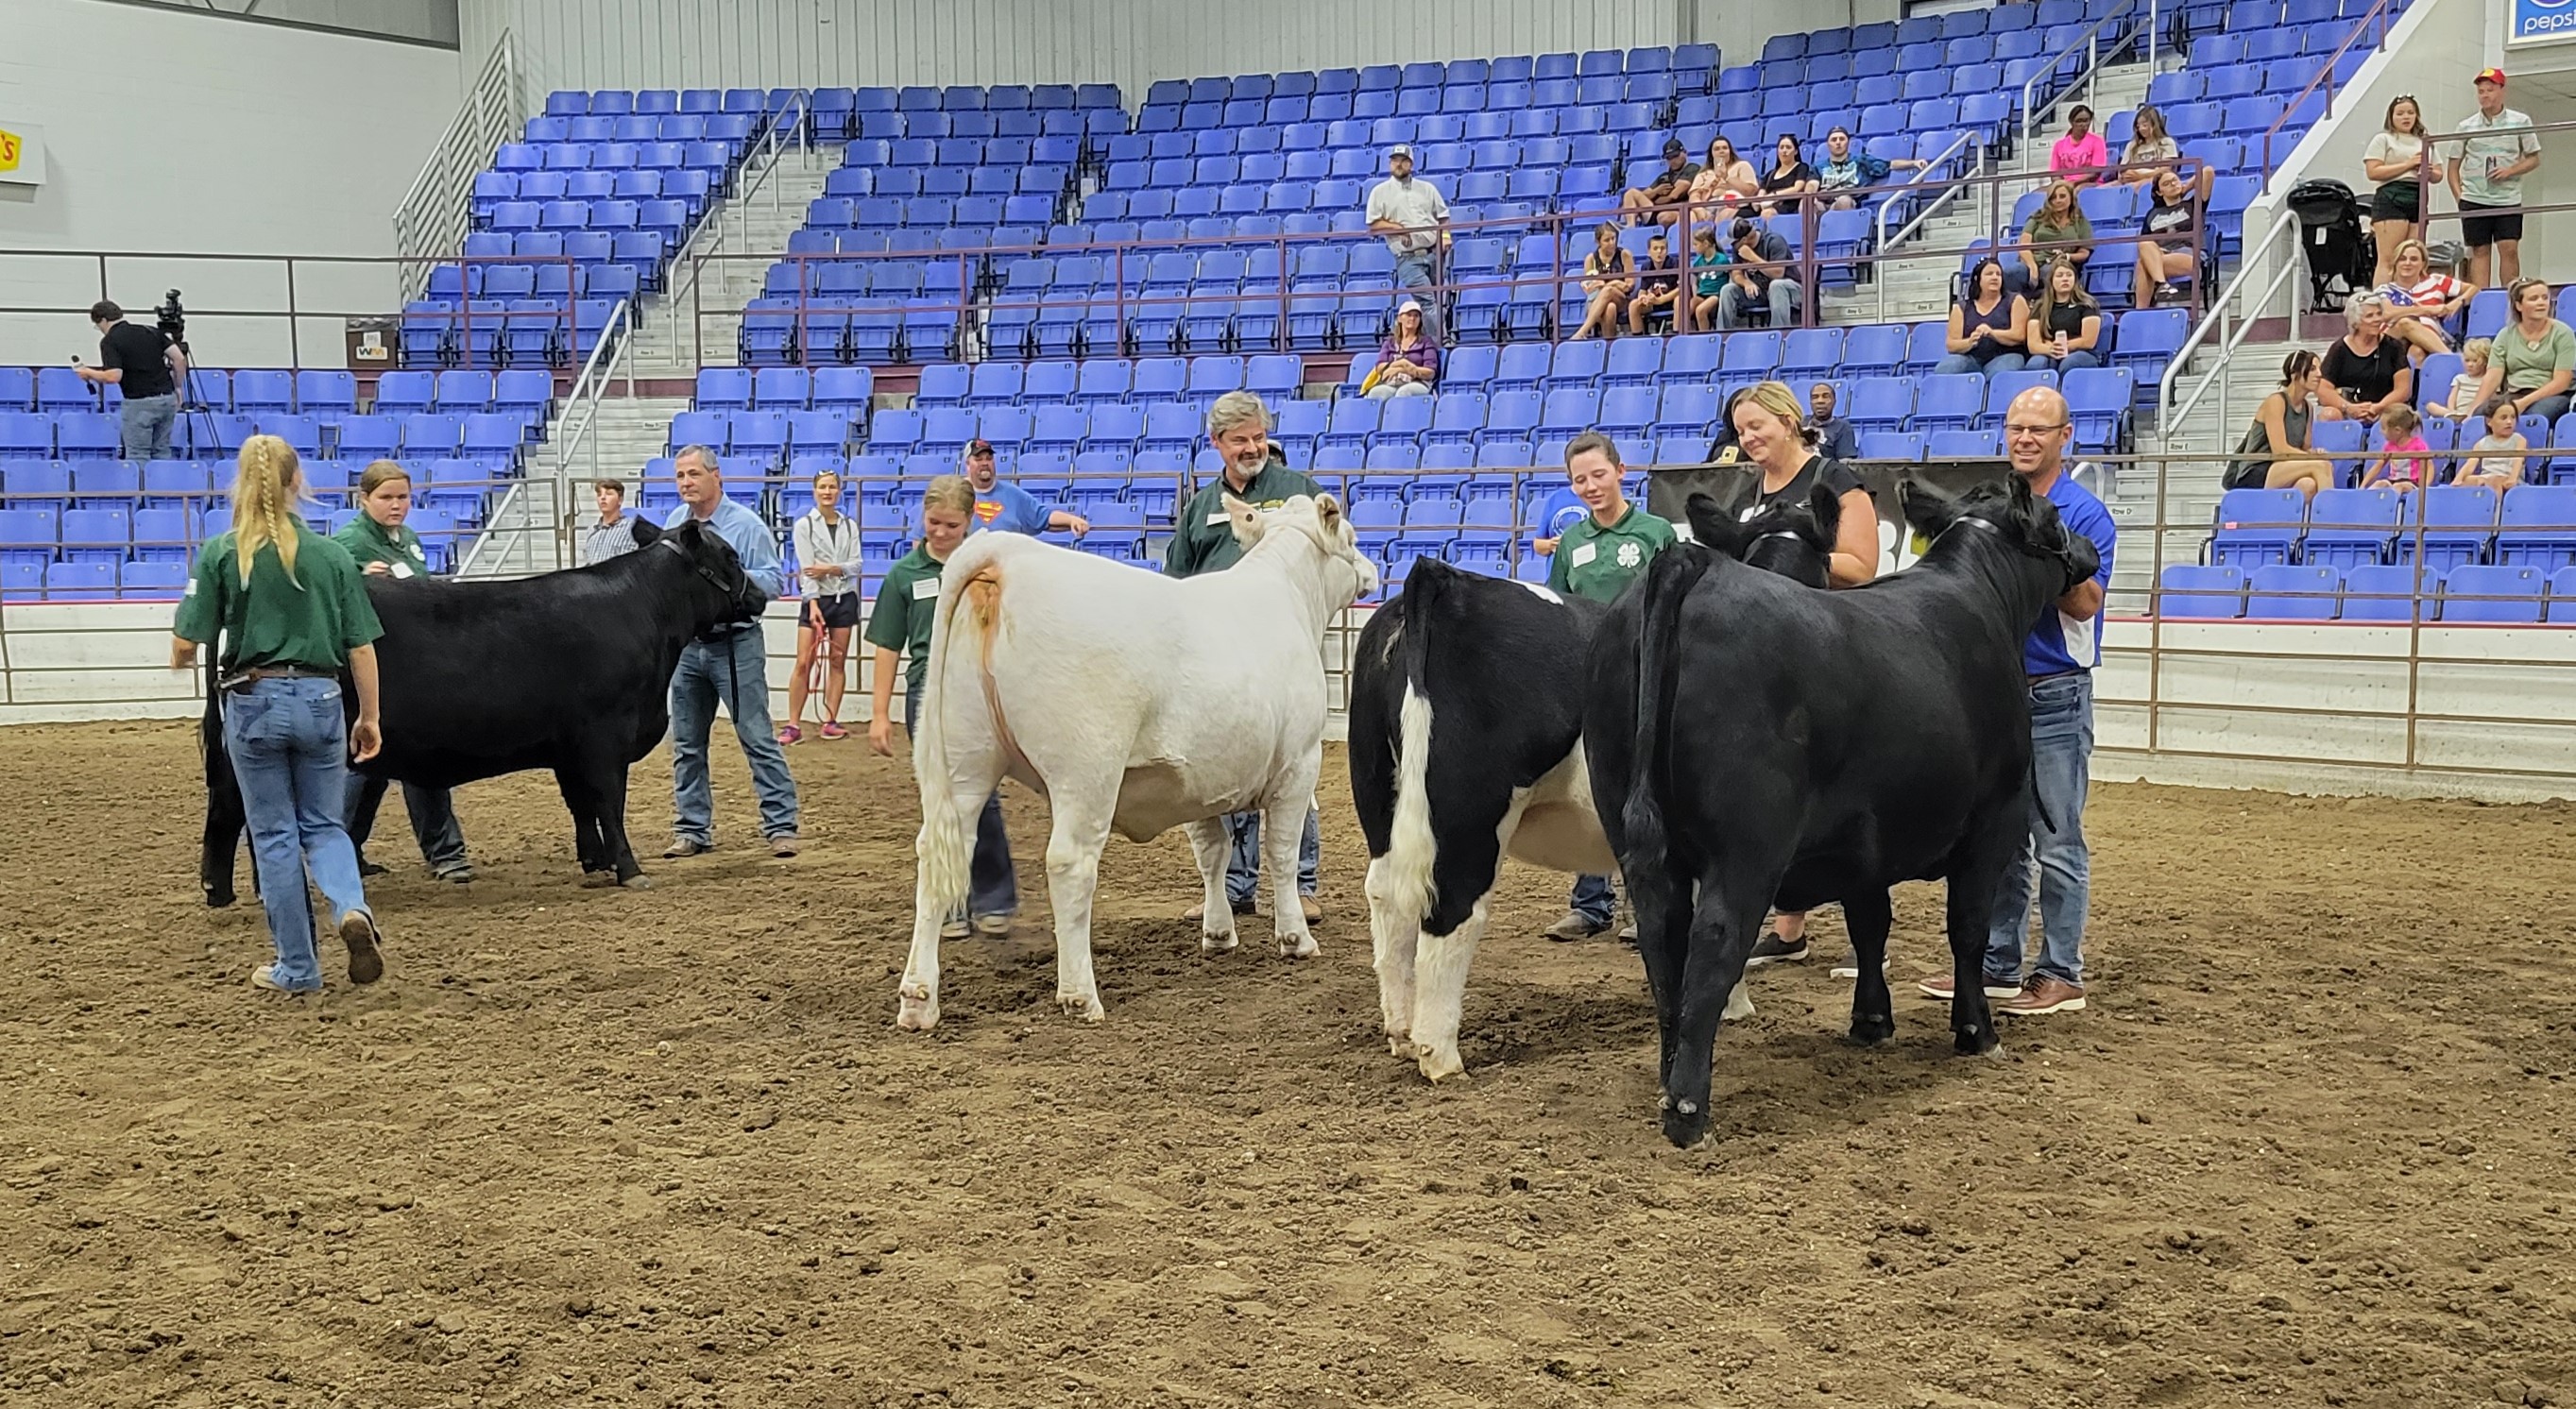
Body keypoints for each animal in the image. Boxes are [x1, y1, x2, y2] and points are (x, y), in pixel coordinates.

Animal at [200, 519, 762, 907]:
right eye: (730, 556)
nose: (759, 594)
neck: (642, 612)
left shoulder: (569, 747)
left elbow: (580, 806)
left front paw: (594, 862)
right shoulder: (605, 738)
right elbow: (608, 803)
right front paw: (628, 869)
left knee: (236, 812)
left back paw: (227, 890)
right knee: (243, 812)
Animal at [896, 491, 1380, 1030]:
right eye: (1352, 537)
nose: (1373, 570)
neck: (1286, 597)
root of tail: (1009, 554)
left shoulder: (1202, 777)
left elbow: (1212, 852)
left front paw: (1218, 933)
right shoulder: (1299, 763)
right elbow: (1282, 853)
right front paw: (1295, 939)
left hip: (964, 759)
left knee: (940, 856)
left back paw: (918, 999)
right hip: (1086, 768)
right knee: (1068, 864)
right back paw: (1080, 995)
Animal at [1339, 479, 1844, 1087]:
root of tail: (1440, 580)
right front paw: (1732, 1005)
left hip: (1379, 791)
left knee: (1387, 896)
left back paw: (1398, 1029)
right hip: (1468, 810)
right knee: (1452, 906)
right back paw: (1439, 1055)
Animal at [1586, 473, 2112, 1148]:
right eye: (2054, 520)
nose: (2092, 552)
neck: (1981, 598)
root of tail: (1692, 561)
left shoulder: (1865, 838)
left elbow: (1870, 925)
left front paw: (1871, 1021)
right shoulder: (1993, 819)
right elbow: (1966, 928)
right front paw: (1976, 1032)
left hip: (1634, 833)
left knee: (1662, 940)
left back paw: (1668, 1074)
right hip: (1748, 846)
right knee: (1715, 941)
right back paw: (1688, 1111)